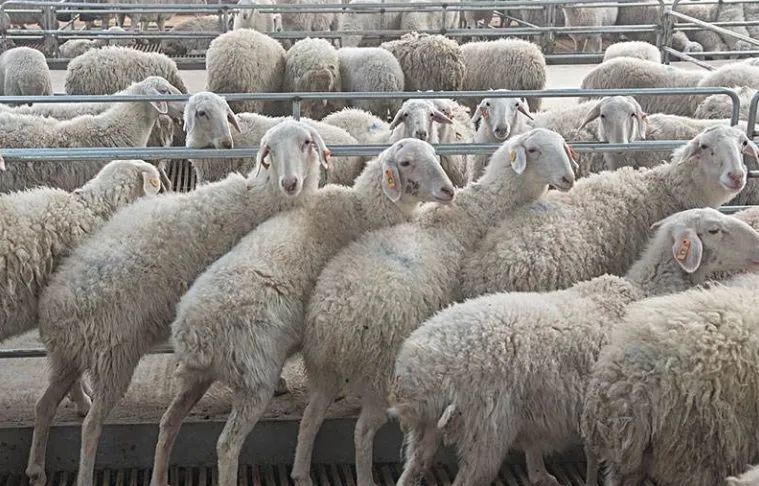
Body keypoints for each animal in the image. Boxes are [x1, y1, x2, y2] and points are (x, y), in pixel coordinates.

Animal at [26, 120, 330, 486]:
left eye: (306, 143)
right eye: (269, 149)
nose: (290, 183)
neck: (258, 198)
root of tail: (54, 311)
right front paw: (281, 381)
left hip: (67, 358)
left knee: (44, 405)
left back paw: (36, 468)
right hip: (114, 356)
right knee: (90, 426)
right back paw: (82, 474)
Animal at [150, 138, 455, 486]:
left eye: (435, 155)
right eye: (405, 163)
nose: (448, 190)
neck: (361, 209)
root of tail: (194, 336)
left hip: (195, 378)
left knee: (168, 423)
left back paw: (158, 476)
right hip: (255, 380)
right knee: (227, 445)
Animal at [291, 128, 579, 486]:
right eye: (535, 150)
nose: (568, 178)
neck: (467, 216)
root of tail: (334, 325)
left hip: (323, 372)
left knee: (310, 418)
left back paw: (301, 472)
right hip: (378, 373)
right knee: (362, 431)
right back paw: (365, 477)